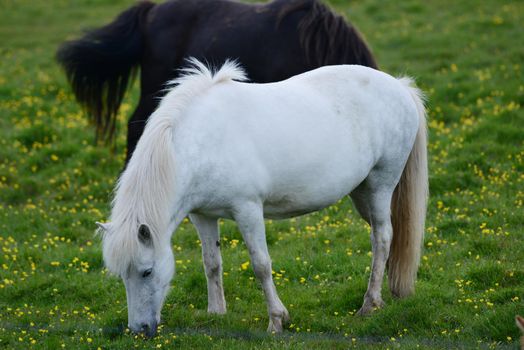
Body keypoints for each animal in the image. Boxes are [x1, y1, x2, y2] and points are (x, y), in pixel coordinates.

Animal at [96, 59, 428, 336]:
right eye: (121, 275)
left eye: (147, 271)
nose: (139, 330)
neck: (201, 141)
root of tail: (400, 86)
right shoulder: (203, 215)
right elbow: (211, 262)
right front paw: (216, 312)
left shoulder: (248, 211)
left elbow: (261, 265)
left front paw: (277, 320)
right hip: (361, 193)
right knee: (384, 236)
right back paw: (388, 292)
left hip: (380, 185)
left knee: (382, 237)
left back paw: (369, 303)